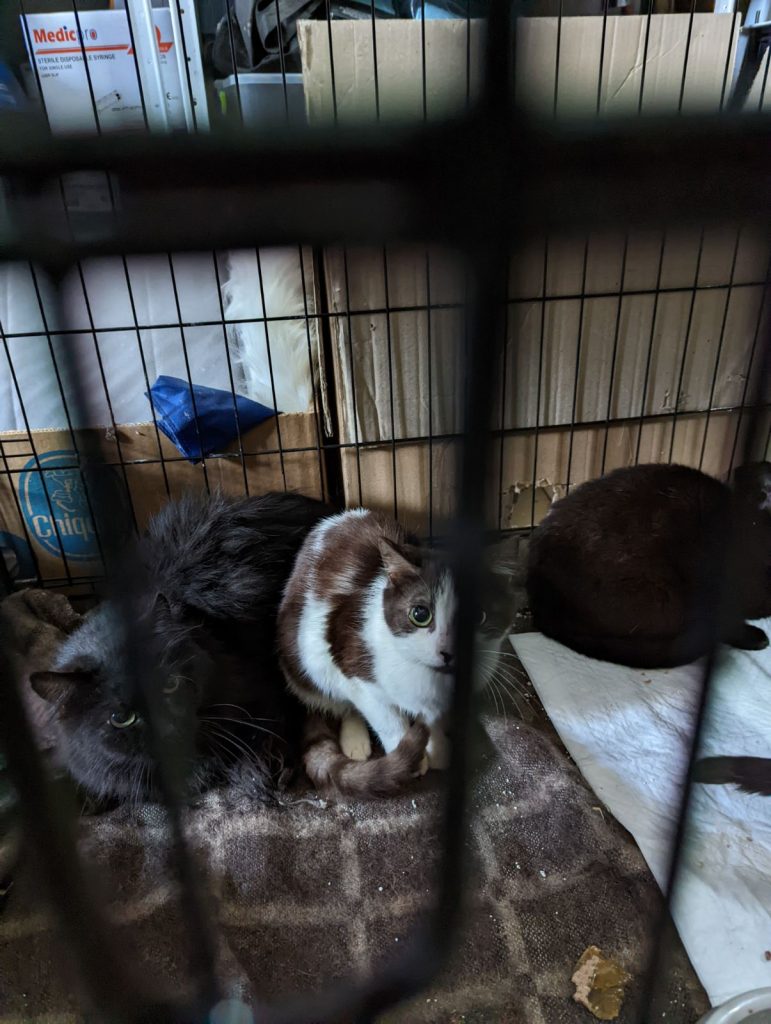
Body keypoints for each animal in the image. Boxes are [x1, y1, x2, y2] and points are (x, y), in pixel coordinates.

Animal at [277, 508, 518, 797]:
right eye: (420, 614)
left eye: (477, 617)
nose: (448, 652)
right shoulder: (352, 662)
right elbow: (384, 717)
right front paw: (409, 758)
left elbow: (433, 717)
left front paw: (437, 747)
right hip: (306, 660)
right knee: (341, 701)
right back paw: (355, 740)